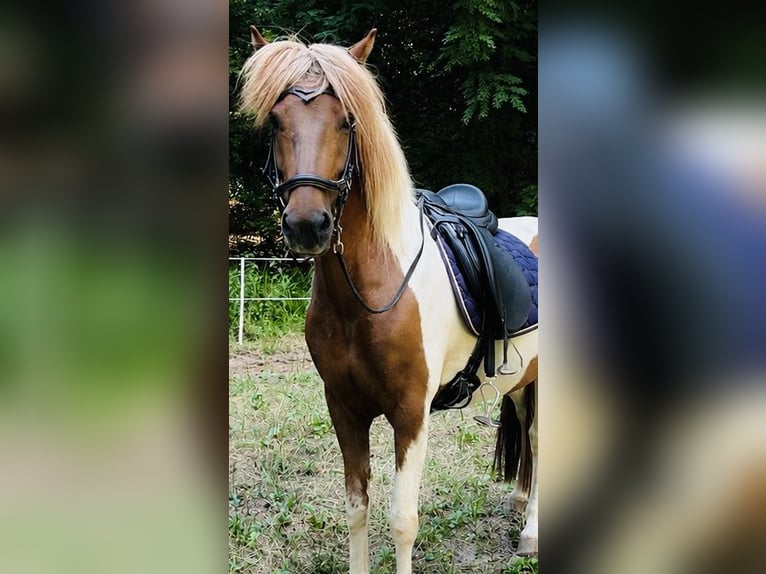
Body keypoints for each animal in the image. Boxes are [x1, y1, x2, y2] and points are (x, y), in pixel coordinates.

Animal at [239, 27, 539, 573]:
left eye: (347, 121)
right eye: (275, 120)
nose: (307, 225)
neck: (365, 294)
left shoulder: (410, 413)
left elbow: (403, 521)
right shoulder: (344, 407)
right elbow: (356, 507)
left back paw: (531, 532)